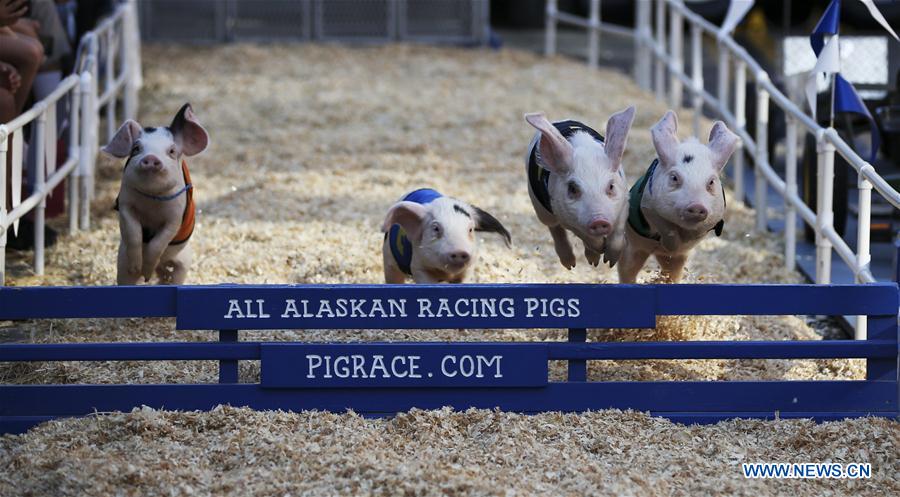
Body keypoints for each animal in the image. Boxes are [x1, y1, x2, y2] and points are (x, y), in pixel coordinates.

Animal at [101, 103, 210, 285]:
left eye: (172, 151)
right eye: (136, 148)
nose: (151, 158)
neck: (152, 199)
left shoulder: (175, 217)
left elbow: (159, 242)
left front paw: (145, 272)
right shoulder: (125, 204)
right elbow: (133, 232)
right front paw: (136, 268)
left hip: (184, 262)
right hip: (121, 263)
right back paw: (141, 276)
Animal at [382, 188, 512, 283]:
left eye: (470, 229)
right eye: (436, 228)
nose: (459, 251)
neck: (447, 275)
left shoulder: (468, 270)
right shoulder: (419, 267)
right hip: (388, 260)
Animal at [523, 106, 635, 270]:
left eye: (611, 186)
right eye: (573, 189)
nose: (599, 221)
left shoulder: (624, 203)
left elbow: (618, 234)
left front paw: (609, 262)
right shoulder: (563, 214)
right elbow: (584, 235)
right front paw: (599, 253)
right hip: (540, 207)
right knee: (554, 228)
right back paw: (571, 265)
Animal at [617, 110, 739, 283]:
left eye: (711, 182)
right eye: (674, 178)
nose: (697, 206)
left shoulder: (714, 218)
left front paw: (682, 244)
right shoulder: (648, 206)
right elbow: (666, 227)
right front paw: (672, 245)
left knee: (673, 271)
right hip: (633, 248)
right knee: (627, 269)